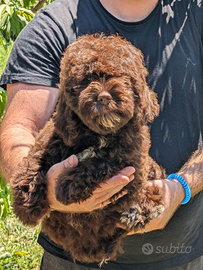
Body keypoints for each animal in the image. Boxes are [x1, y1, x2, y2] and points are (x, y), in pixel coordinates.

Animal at [11, 34, 166, 266]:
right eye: (84, 81)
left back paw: (137, 211)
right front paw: (26, 204)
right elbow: (36, 158)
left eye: (123, 78)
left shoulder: (134, 162)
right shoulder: (55, 135)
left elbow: (102, 162)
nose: (104, 97)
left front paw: (66, 187)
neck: (98, 134)